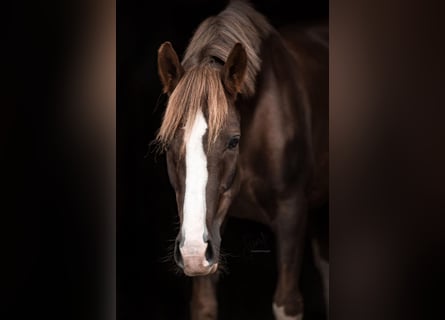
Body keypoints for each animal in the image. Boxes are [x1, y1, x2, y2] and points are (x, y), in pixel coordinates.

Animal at [153, 1, 326, 318]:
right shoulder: (210, 231)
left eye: (233, 140)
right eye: (169, 144)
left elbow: (287, 303)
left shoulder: (292, 213)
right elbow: (204, 305)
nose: (192, 252)